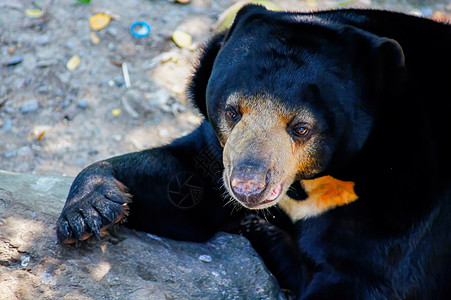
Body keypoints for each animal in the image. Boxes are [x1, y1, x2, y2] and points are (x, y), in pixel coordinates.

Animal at [56, 5, 451, 300]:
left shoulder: (404, 202)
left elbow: (366, 274)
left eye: (301, 128)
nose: (248, 186)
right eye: (233, 112)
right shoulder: (217, 152)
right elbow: (183, 187)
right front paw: (90, 210)